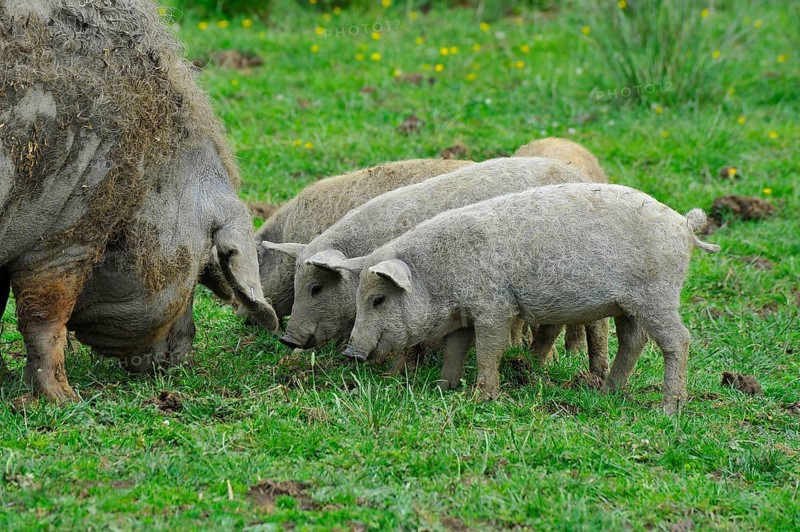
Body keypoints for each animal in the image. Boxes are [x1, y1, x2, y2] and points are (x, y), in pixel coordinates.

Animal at [340, 183, 720, 414]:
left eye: (378, 300)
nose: (350, 352)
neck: (438, 274)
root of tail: (683, 225)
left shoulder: (494, 306)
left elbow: (488, 350)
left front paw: (481, 397)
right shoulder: (464, 314)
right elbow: (455, 348)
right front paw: (444, 386)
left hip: (657, 295)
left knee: (678, 340)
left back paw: (669, 408)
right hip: (629, 305)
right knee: (633, 340)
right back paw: (606, 392)